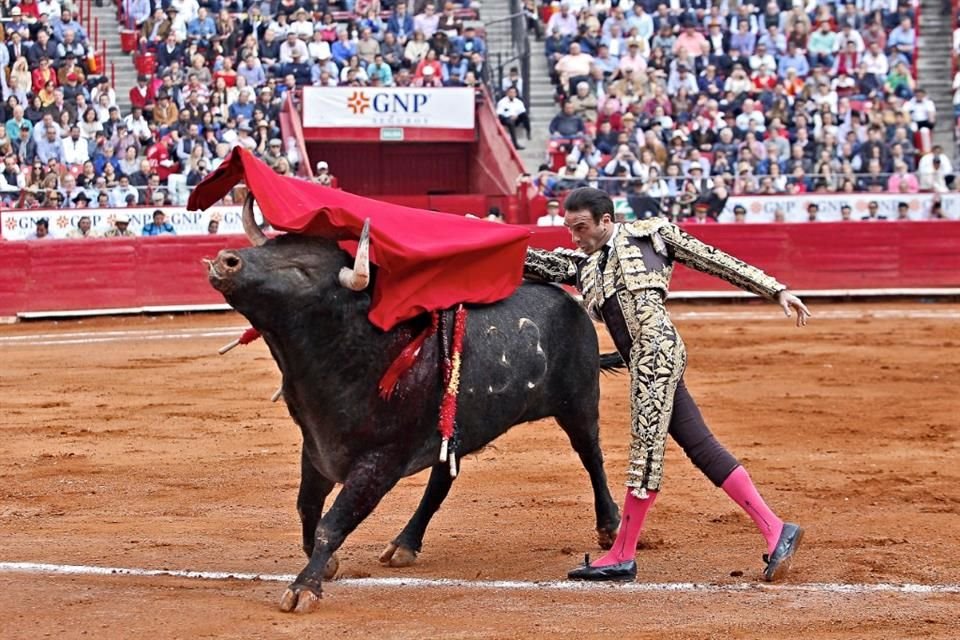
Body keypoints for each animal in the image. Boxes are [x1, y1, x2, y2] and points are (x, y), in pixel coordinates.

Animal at [206, 200, 620, 608]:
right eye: (271, 247)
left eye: (303, 270)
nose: (226, 260)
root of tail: (569, 300)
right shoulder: (317, 448)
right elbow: (307, 507)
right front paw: (325, 566)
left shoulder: (381, 460)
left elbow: (333, 522)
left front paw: (304, 587)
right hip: (456, 430)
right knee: (442, 480)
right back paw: (405, 543)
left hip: (578, 403)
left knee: (591, 457)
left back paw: (610, 527)